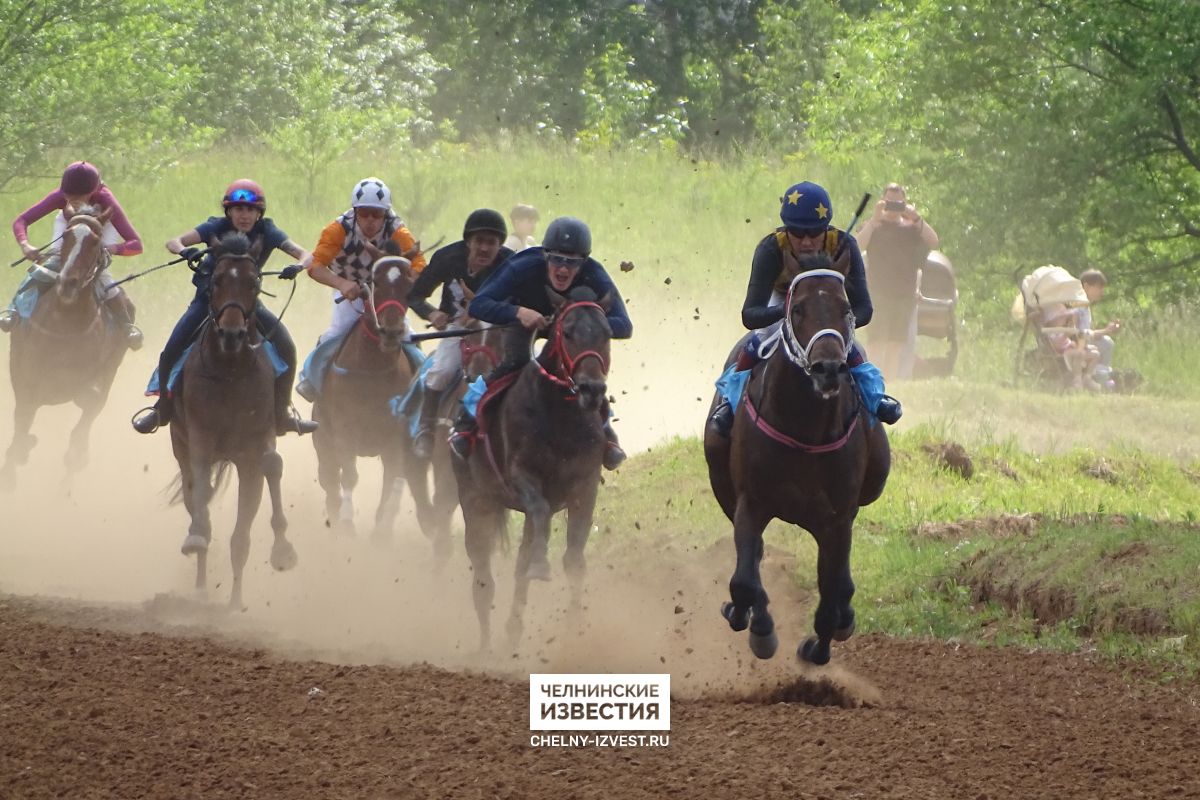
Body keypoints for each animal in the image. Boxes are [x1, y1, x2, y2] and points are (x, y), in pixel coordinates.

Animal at [1, 205, 130, 489]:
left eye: (95, 241)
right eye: (66, 237)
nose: (68, 283)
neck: (65, 326)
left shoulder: (95, 379)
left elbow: (90, 402)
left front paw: (76, 457)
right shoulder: (26, 378)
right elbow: (21, 426)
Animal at [170, 231, 296, 606]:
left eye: (254, 283)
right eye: (216, 280)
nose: (231, 333)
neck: (229, 368)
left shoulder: (253, 447)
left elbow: (269, 468)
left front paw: (281, 553)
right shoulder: (200, 434)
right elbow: (200, 491)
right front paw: (197, 536)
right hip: (179, 442)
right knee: (195, 493)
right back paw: (199, 585)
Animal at [451, 287, 614, 652]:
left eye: (607, 333)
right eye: (567, 332)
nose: (592, 389)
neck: (560, 417)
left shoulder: (585, 486)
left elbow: (573, 560)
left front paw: (576, 625)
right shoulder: (521, 477)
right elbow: (537, 511)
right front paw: (542, 565)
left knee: (519, 563)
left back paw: (513, 630)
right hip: (475, 499)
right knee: (483, 576)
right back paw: (486, 647)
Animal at [700, 253, 892, 666]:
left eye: (847, 308)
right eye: (799, 308)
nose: (828, 367)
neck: (804, 428)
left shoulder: (836, 518)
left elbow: (833, 589)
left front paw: (819, 646)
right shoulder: (751, 502)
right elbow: (745, 578)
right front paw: (759, 629)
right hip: (723, 484)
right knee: (753, 559)